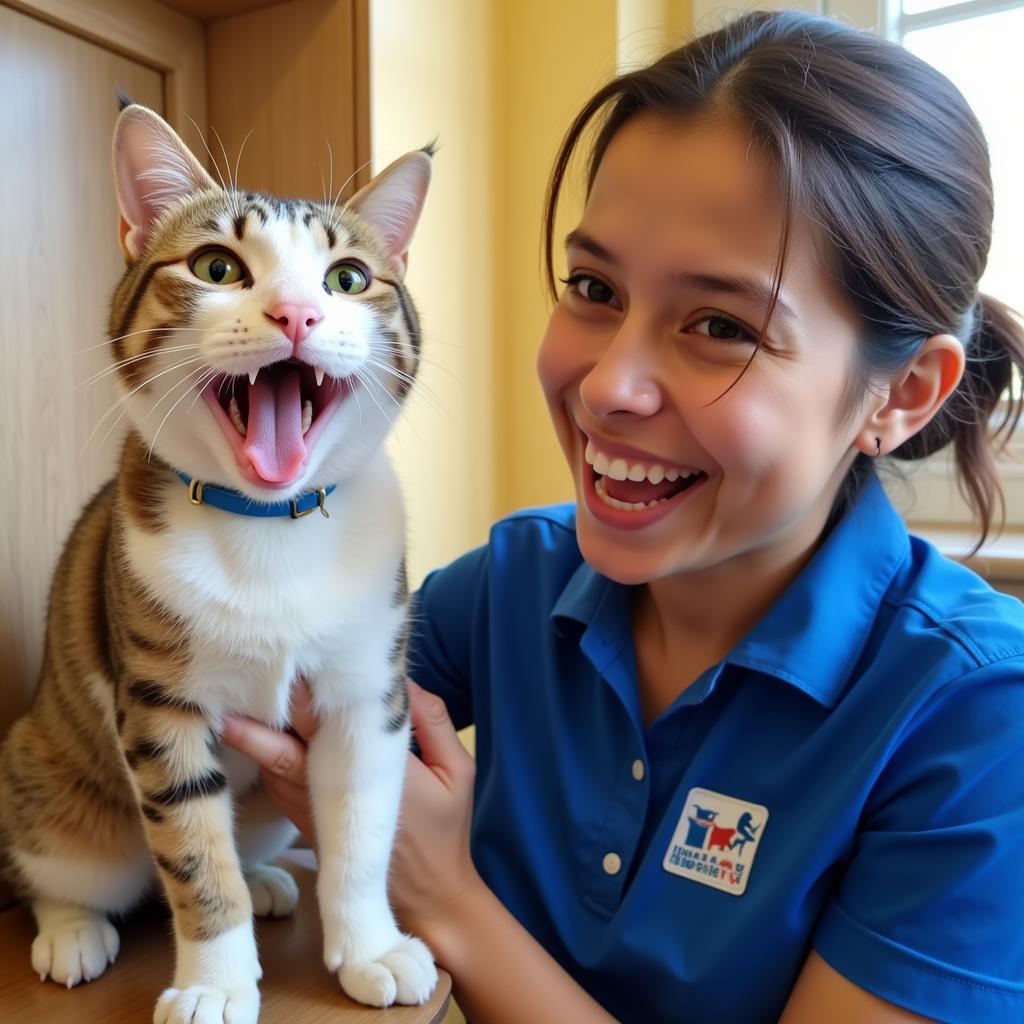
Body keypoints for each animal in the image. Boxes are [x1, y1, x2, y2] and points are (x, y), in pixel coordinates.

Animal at [0, 97, 436, 1024]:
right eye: (216, 266)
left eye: (350, 278)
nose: (297, 314)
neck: (271, 528)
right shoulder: (160, 706)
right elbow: (196, 855)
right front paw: (216, 982)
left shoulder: (367, 693)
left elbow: (361, 830)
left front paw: (369, 947)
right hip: (50, 780)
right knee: (63, 866)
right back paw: (72, 929)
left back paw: (269, 877)